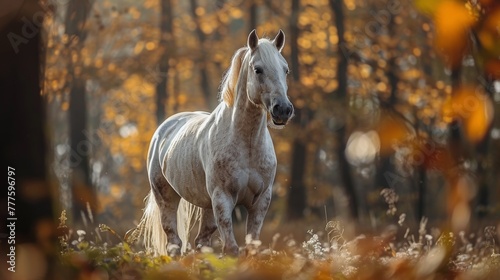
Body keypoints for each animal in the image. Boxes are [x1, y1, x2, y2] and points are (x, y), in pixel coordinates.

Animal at [138, 29, 292, 256]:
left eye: (285, 69)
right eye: (258, 69)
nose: (283, 110)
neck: (247, 145)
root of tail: (164, 129)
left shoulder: (260, 201)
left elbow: (251, 247)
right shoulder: (223, 198)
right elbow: (231, 249)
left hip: (207, 206)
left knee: (202, 242)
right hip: (167, 198)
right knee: (174, 243)